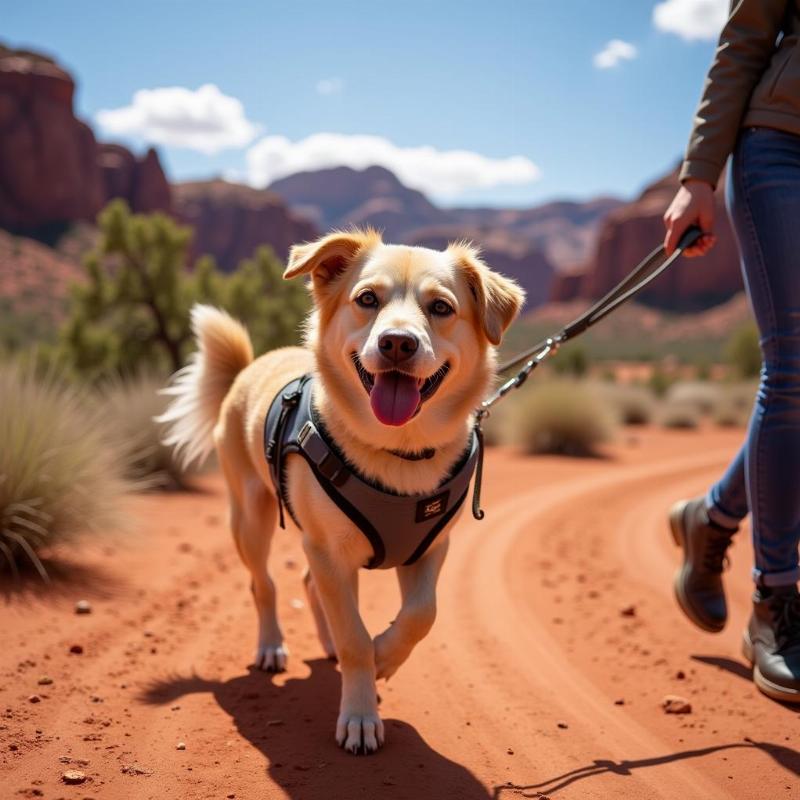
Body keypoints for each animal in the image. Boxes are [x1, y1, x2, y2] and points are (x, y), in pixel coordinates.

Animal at [162, 228, 524, 752]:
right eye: (367, 299)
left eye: (441, 307)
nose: (397, 343)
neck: (398, 452)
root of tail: (249, 367)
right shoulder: (329, 550)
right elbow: (355, 637)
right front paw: (360, 714)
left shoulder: (429, 547)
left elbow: (422, 614)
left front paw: (384, 656)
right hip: (251, 518)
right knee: (264, 583)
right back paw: (271, 646)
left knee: (311, 586)